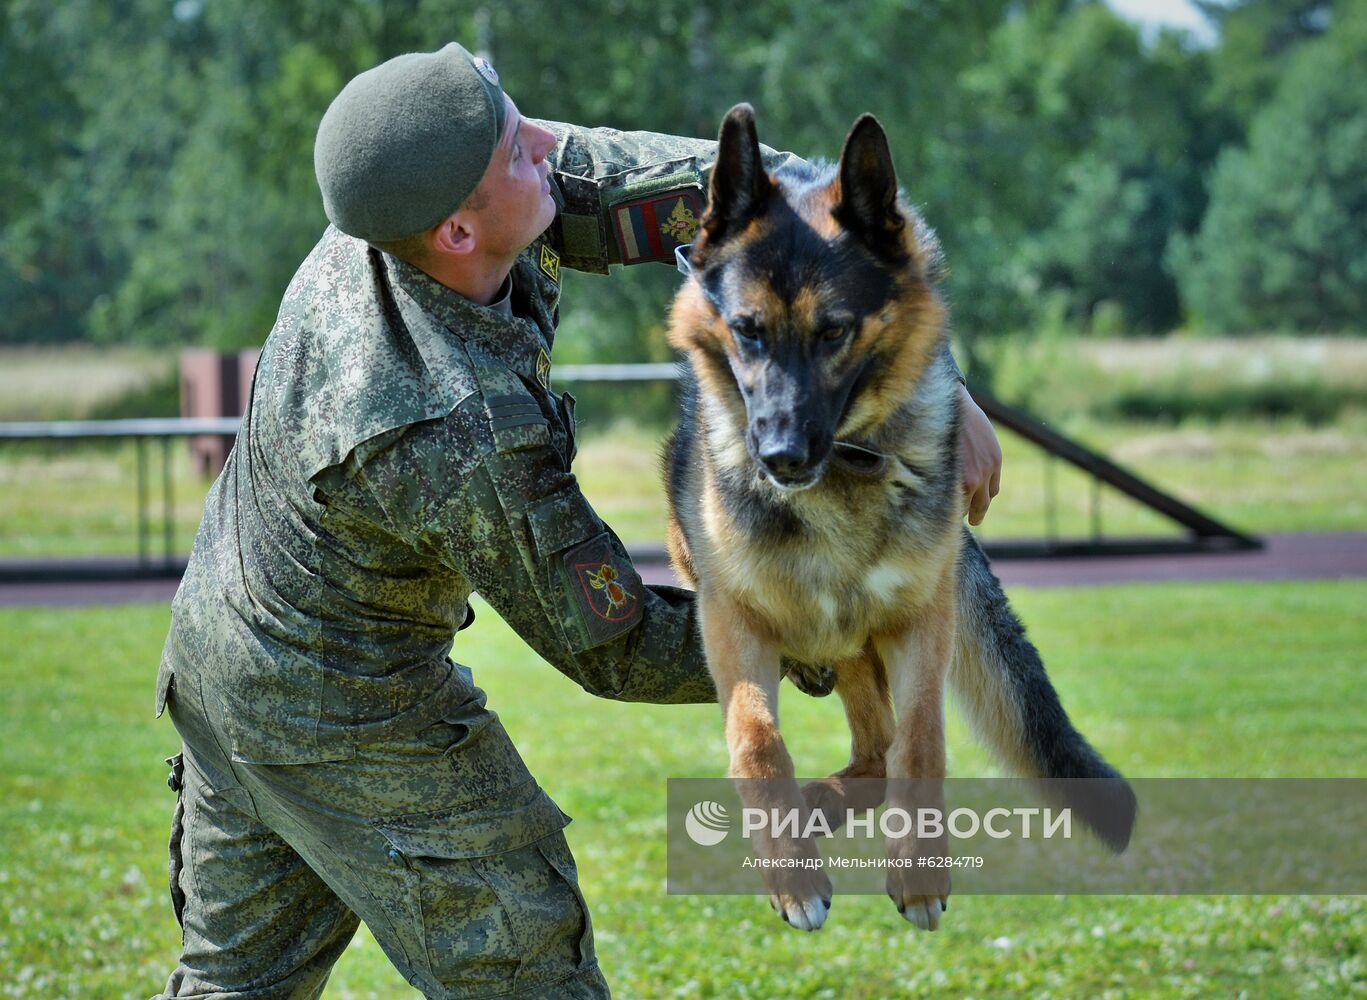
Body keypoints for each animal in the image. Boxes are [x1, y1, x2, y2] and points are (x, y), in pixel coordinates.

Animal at [661, 105, 1131, 934]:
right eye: (747, 330)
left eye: (833, 332)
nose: (778, 456)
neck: (842, 473)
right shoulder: (731, 622)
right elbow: (756, 741)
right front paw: (791, 875)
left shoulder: (918, 619)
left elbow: (919, 744)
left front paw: (918, 872)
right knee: (860, 746)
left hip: (868, 636)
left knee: (880, 751)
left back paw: (821, 803)